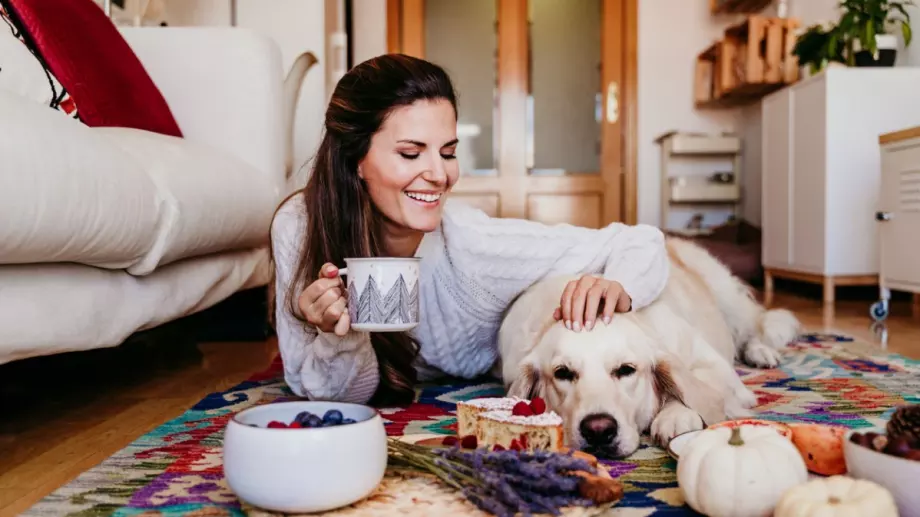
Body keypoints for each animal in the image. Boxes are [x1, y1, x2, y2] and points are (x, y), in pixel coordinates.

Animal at [496, 236, 796, 458]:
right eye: (562, 373)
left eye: (626, 370)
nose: (598, 430)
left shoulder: (715, 366)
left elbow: (692, 387)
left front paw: (675, 416)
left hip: (727, 297)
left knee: (755, 327)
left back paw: (761, 352)